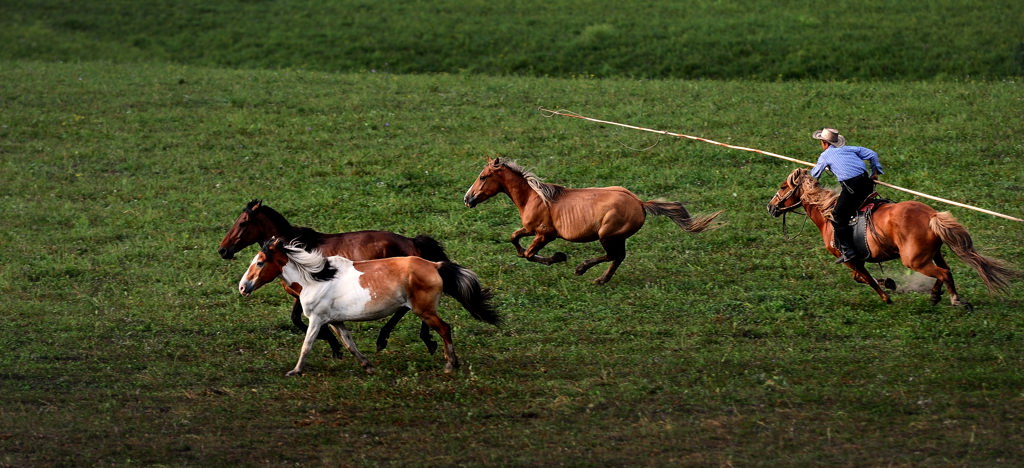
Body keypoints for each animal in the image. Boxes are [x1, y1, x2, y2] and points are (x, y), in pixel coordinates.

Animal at [220, 196, 452, 354]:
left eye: (242, 222)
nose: (223, 250)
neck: (293, 249)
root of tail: (412, 241)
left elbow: (305, 322)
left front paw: (334, 345)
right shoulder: (300, 296)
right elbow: (296, 319)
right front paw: (335, 346)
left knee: (406, 308)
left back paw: (392, 339)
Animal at [236, 238, 499, 374]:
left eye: (260, 262)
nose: (242, 287)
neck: (315, 278)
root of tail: (434, 265)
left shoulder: (317, 320)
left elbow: (307, 345)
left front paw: (295, 371)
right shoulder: (336, 321)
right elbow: (349, 343)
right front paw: (367, 365)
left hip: (424, 310)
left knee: (445, 328)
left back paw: (450, 364)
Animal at [460, 156, 724, 282]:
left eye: (483, 177)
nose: (467, 199)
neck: (535, 197)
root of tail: (640, 203)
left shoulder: (545, 234)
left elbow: (528, 254)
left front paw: (558, 257)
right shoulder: (530, 229)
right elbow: (515, 240)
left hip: (607, 235)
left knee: (613, 255)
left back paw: (583, 269)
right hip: (617, 237)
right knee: (618, 258)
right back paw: (600, 279)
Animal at [770, 165, 1015, 309]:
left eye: (782, 186)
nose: (770, 206)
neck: (828, 213)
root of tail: (931, 215)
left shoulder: (850, 259)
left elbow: (863, 278)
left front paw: (887, 292)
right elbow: (862, 277)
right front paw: (887, 283)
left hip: (915, 260)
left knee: (943, 273)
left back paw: (950, 299)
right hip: (934, 253)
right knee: (946, 271)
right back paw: (942, 297)